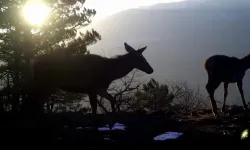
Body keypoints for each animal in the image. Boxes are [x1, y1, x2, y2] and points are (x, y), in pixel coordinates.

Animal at [20, 42, 154, 118]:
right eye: (140, 58)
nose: (151, 69)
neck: (109, 73)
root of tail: (33, 62)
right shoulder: (91, 88)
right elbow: (94, 108)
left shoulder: (99, 89)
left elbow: (112, 99)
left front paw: (115, 113)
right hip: (45, 83)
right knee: (31, 101)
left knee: (34, 101)